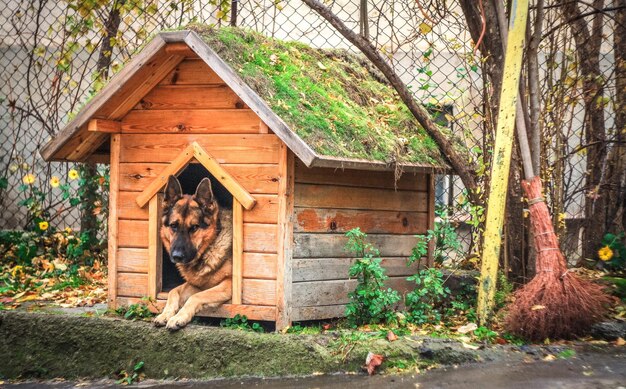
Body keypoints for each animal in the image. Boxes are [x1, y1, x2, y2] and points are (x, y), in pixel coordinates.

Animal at [153, 174, 232, 328]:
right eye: (173, 225)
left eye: (194, 227)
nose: (177, 256)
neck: (208, 249)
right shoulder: (197, 284)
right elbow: (173, 291)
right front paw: (165, 314)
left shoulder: (228, 284)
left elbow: (196, 297)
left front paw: (179, 317)